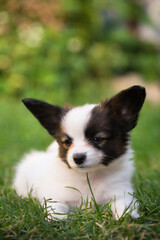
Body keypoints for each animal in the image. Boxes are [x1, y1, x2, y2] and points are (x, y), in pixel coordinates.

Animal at [12, 86, 146, 219]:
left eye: (97, 139)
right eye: (67, 142)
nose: (78, 158)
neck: (89, 176)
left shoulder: (121, 193)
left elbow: (124, 205)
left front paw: (125, 217)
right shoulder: (56, 197)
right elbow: (56, 210)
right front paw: (57, 221)